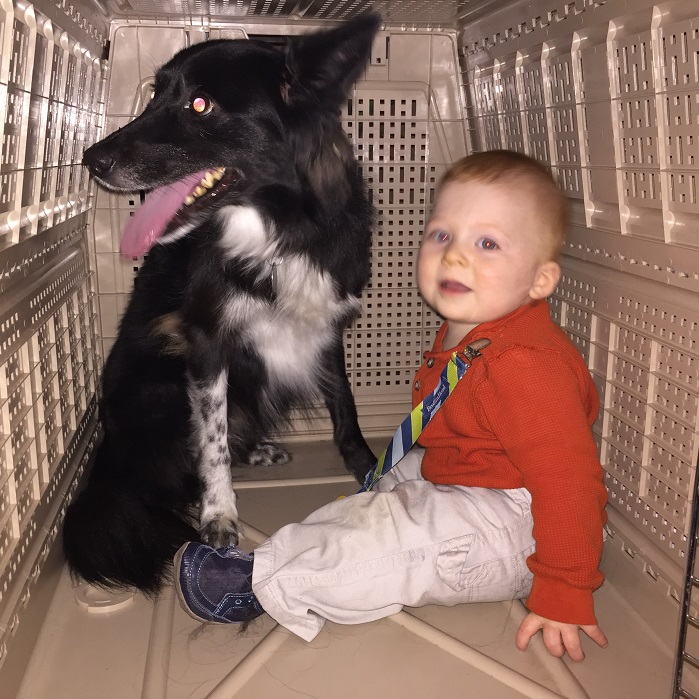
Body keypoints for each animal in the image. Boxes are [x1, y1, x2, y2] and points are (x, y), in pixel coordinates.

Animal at [65, 15, 380, 596]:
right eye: (154, 93)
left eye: (200, 105)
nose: (91, 160)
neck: (278, 232)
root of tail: (110, 457)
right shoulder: (206, 340)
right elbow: (210, 440)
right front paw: (220, 516)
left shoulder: (327, 324)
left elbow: (345, 405)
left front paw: (370, 469)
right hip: (162, 381)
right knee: (172, 475)